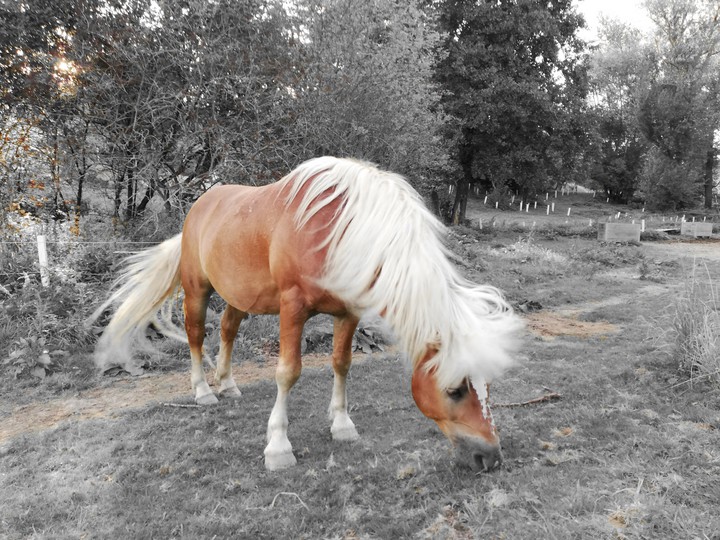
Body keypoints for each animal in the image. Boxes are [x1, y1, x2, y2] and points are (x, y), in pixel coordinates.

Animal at [91, 157, 523, 472]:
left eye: (487, 387)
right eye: (455, 390)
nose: (490, 457)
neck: (342, 233)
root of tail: (200, 205)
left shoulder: (348, 313)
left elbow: (341, 363)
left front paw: (343, 425)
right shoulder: (292, 308)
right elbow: (288, 372)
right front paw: (278, 447)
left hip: (237, 297)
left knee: (227, 331)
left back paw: (227, 385)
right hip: (198, 289)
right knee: (196, 335)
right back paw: (203, 392)